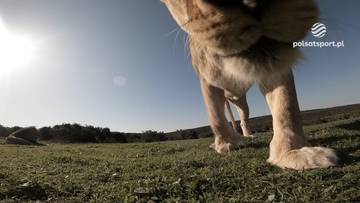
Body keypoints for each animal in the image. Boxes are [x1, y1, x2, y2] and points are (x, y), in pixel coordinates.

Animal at [162, 0, 338, 170]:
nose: (252, 3)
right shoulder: (207, 78)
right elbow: (215, 116)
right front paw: (225, 144)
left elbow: (286, 105)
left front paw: (293, 152)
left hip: (242, 104)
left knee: (243, 120)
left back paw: (247, 135)